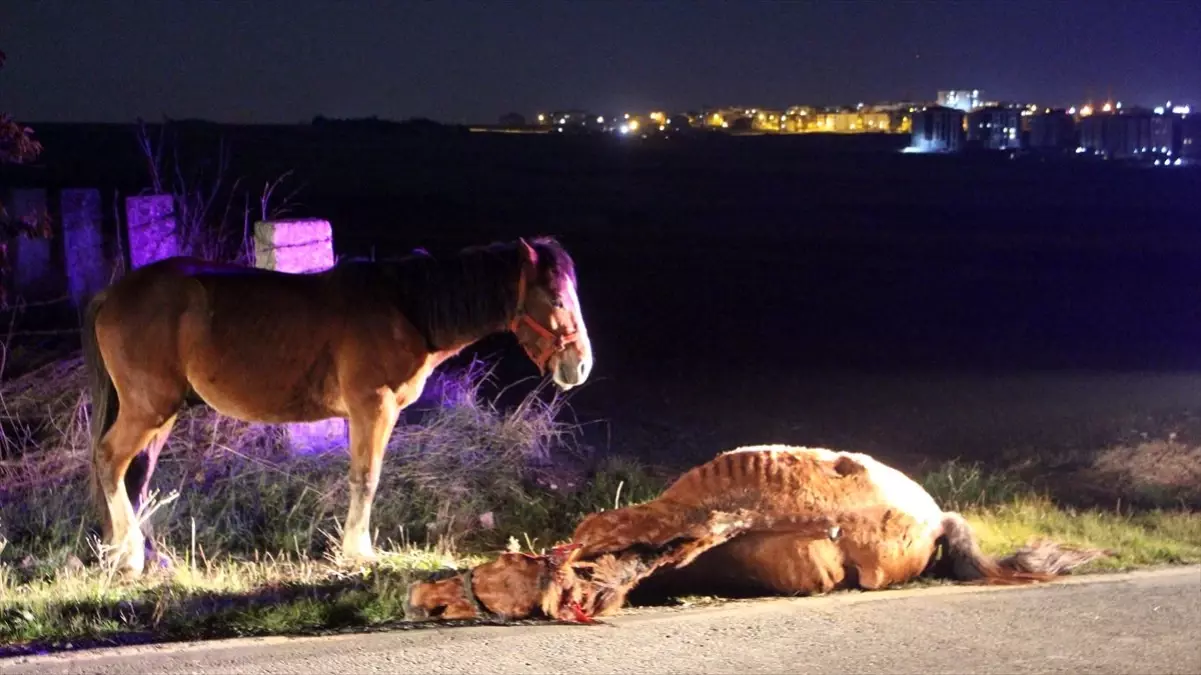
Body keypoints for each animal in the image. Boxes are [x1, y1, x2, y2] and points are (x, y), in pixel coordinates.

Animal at [82, 235, 593, 571]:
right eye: (556, 298)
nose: (581, 365)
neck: (405, 306)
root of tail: (114, 293)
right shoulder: (373, 407)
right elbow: (366, 479)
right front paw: (357, 551)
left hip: (158, 414)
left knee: (135, 474)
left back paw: (141, 554)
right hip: (148, 409)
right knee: (110, 461)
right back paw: (127, 555)